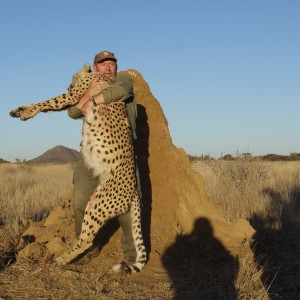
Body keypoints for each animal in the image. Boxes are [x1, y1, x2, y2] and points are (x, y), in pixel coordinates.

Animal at [9, 64, 148, 274]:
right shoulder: (75, 100)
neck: (94, 75)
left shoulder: (75, 95)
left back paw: (61, 259)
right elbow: (55, 106)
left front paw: (24, 111)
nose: (68, 84)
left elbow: (49, 101)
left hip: (99, 206)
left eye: (72, 77)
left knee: (87, 239)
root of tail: (133, 191)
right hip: (94, 200)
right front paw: (22, 111)